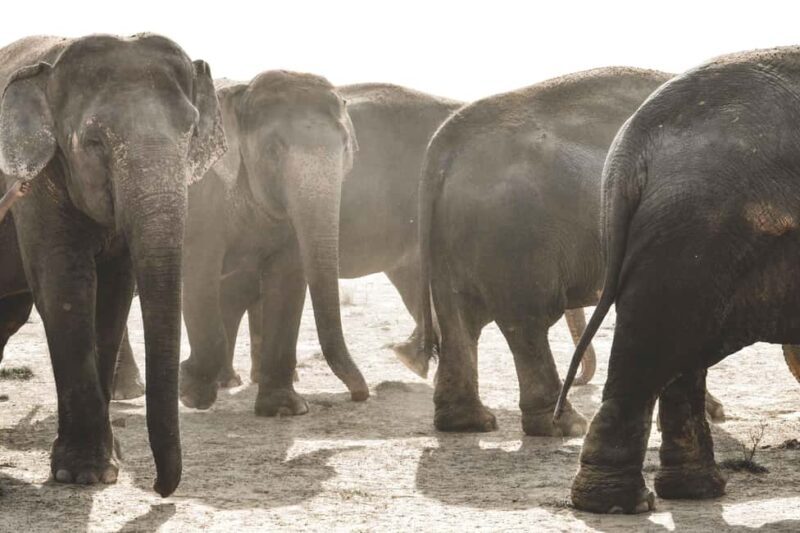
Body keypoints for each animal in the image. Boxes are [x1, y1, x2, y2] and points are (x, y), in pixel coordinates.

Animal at [0, 34, 226, 495]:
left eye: (191, 132)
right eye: (94, 142)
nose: (159, 488)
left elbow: (114, 293)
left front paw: (105, 466)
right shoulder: (37, 181)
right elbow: (65, 285)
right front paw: (83, 474)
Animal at [177, 71, 368, 415]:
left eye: (346, 147)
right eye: (272, 150)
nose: (360, 394)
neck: (241, 93)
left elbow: (288, 279)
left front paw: (284, 409)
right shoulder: (202, 196)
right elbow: (199, 275)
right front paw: (189, 394)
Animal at [417, 67, 675, 438]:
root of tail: (447, 139)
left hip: (453, 235)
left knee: (458, 317)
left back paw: (468, 423)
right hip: (515, 236)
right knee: (527, 320)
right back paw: (565, 426)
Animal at [555, 47, 800, 514]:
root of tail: (633, 140)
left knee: (681, 354)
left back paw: (692, 490)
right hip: (698, 226)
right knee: (655, 347)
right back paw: (617, 504)